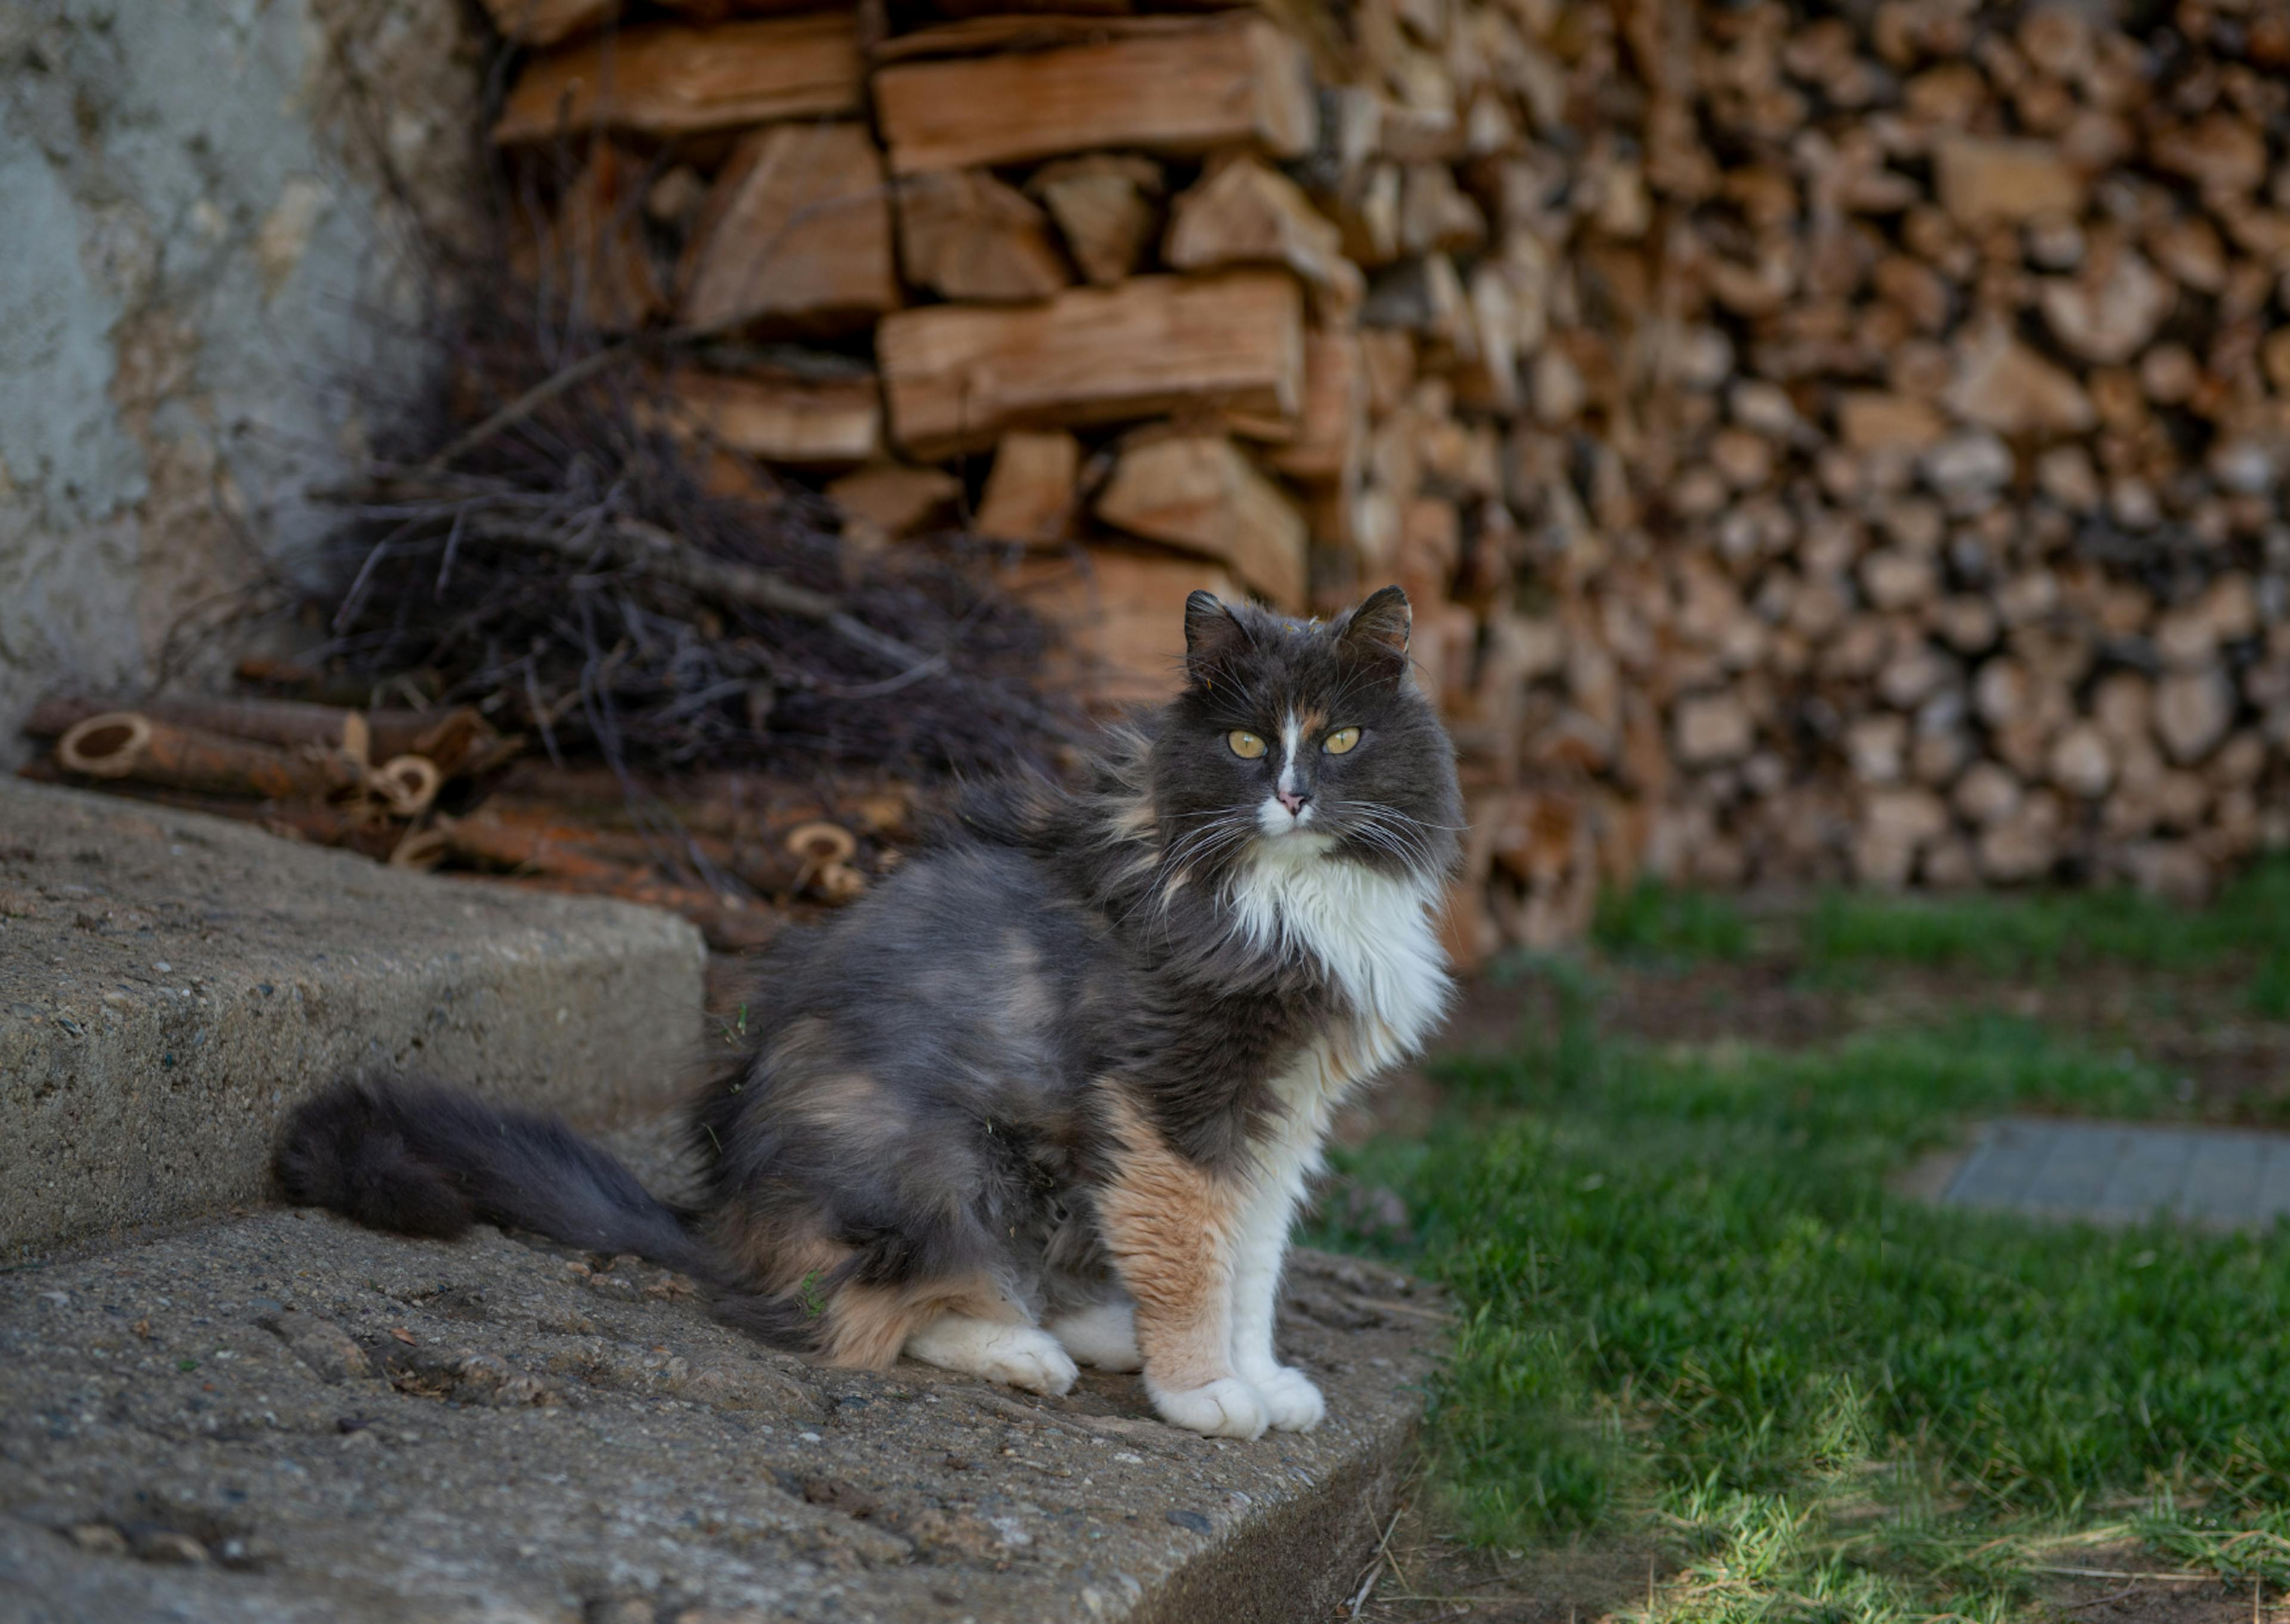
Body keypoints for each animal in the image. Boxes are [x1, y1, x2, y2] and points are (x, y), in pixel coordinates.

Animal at [277, 581, 1456, 1429]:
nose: (1293, 795)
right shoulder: (1174, 1095)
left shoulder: (1284, 1107)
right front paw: (1203, 1391)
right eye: (1247, 743)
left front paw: (1262, 1376)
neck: (1291, 894)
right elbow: (1190, 1248)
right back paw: (1031, 1350)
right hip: (944, 1166)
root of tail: (721, 1226)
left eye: (1342, 739)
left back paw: (1092, 1329)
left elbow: (1253, 1257)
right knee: (874, 1309)